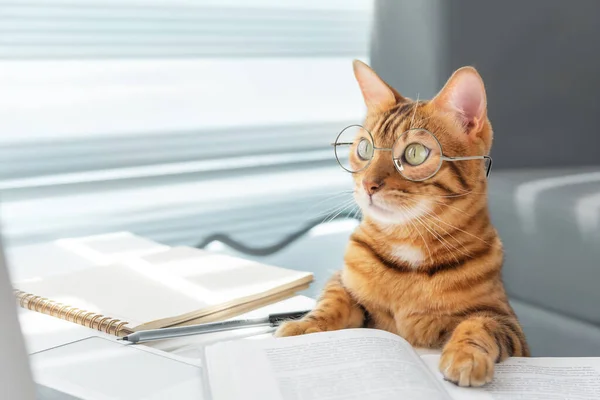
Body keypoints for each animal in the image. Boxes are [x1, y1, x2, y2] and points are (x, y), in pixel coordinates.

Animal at [276, 60, 528, 388]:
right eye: (365, 149)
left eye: (415, 153)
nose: (368, 184)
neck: (408, 243)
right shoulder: (342, 279)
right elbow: (332, 301)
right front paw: (304, 327)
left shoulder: (508, 322)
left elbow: (479, 323)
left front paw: (465, 356)